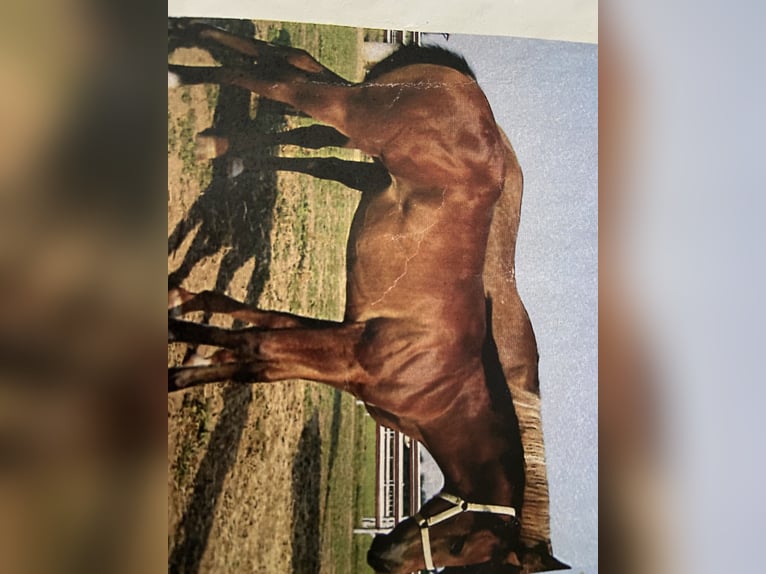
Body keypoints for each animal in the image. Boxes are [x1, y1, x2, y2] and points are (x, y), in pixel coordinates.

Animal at [171, 22, 568, 574]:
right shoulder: (349, 356)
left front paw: (183, 324)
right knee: (285, 85)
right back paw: (186, 78)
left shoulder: (338, 343)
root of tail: (469, 91)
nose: (383, 556)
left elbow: (251, 337)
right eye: (464, 550)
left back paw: (198, 60)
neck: (444, 379)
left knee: (292, 65)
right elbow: (255, 346)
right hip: (357, 115)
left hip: (361, 115)